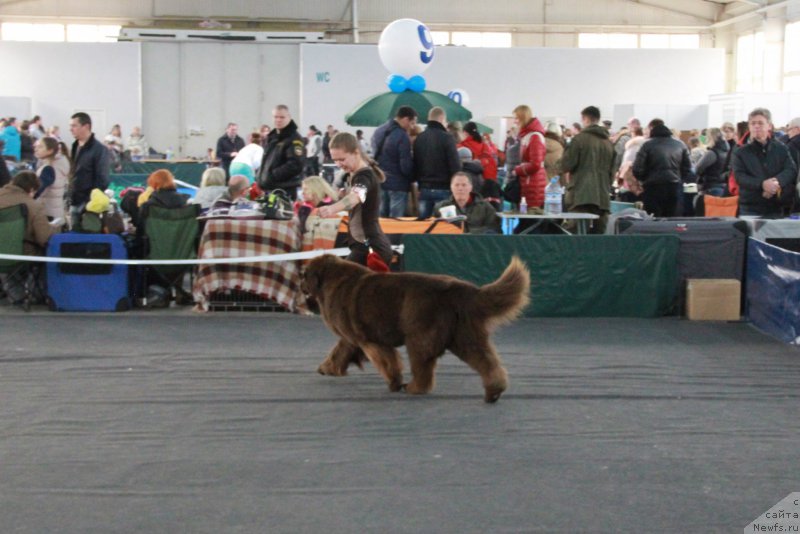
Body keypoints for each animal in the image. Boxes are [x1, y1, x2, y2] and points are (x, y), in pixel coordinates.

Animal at [304, 255, 528, 402]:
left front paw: (394, 383)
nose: (299, 284)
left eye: (304, 274)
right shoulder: (354, 338)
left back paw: (413, 388)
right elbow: (339, 352)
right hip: (465, 338)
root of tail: (460, 289)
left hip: (420, 336)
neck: (333, 280)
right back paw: (494, 392)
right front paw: (328, 368)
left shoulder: (370, 340)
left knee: (423, 368)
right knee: (487, 362)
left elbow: (387, 363)